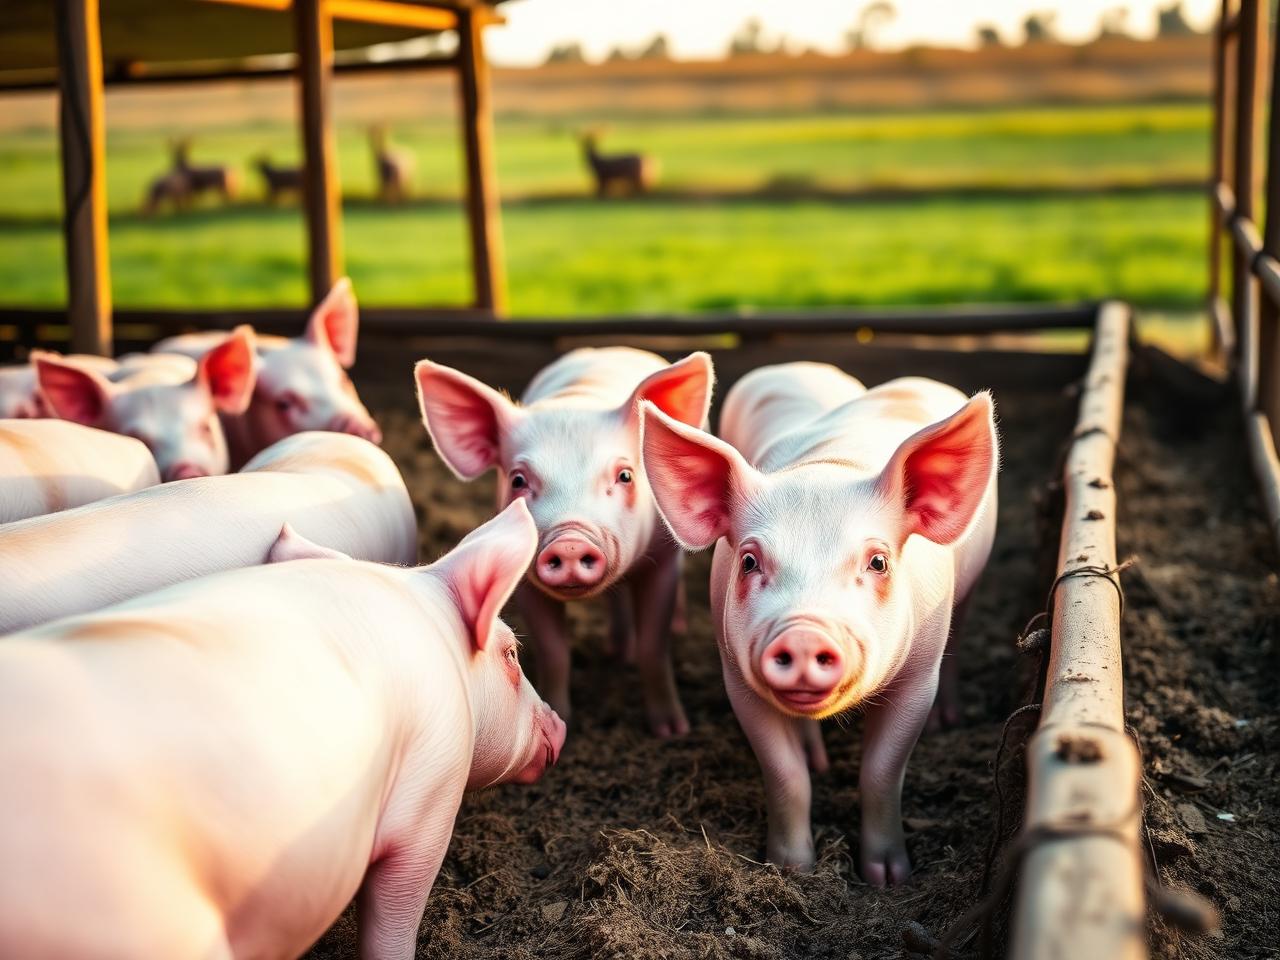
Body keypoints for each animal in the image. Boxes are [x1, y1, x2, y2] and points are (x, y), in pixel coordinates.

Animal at [415, 347, 714, 737]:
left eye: (625, 475)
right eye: (518, 480)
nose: (570, 542)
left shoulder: (662, 561)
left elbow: (653, 648)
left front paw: (672, 732)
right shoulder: (527, 582)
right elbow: (555, 652)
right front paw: (564, 722)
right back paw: (616, 652)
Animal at [640, 364, 998, 885]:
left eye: (878, 561)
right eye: (749, 561)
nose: (805, 634)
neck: (828, 468)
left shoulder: (918, 677)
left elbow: (881, 772)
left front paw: (888, 878)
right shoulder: (737, 677)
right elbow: (787, 775)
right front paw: (791, 871)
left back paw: (946, 723)